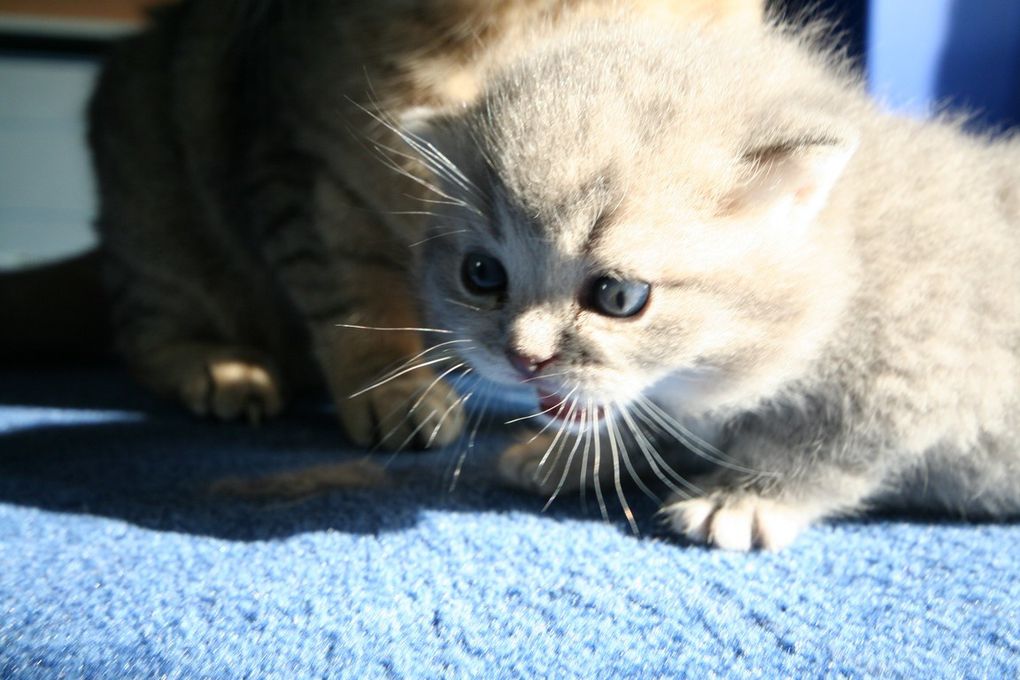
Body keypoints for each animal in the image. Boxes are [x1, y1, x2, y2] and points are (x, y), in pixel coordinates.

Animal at [412, 17, 1020, 546]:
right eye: (481, 274)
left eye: (619, 296)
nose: (523, 358)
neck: (847, 266)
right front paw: (568, 458)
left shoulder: (914, 377)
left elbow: (815, 446)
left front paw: (741, 497)